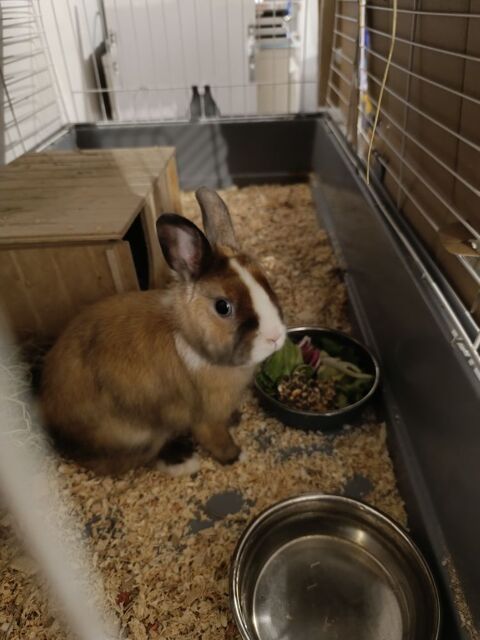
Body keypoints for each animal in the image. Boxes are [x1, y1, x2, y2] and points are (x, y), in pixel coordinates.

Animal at [41, 187, 286, 475]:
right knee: (134, 459)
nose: (275, 336)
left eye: (266, 281)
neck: (190, 342)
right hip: (138, 435)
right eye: (223, 307)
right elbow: (217, 440)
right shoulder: (206, 418)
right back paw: (183, 461)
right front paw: (237, 457)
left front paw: (236, 419)